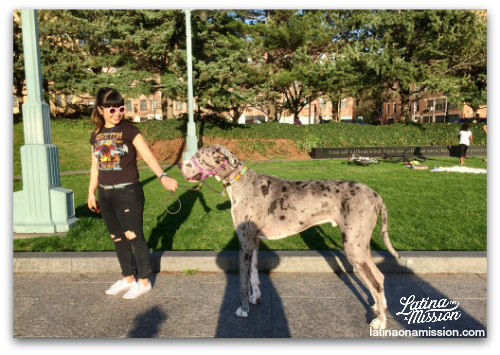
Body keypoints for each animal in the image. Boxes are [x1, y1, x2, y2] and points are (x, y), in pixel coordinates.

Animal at [180, 145, 406, 330]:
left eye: (198, 156)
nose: (180, 165)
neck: (241, 182)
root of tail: (375, 195)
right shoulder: (254, 241)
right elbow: (254, 275)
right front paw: (255, 298)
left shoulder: (244, 242)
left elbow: (243, 282)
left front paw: (244, 310)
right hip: (360, 245)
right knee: (379, 276)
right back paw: (379, 305)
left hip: (353, 246)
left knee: (375, 282)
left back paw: (381, 322)